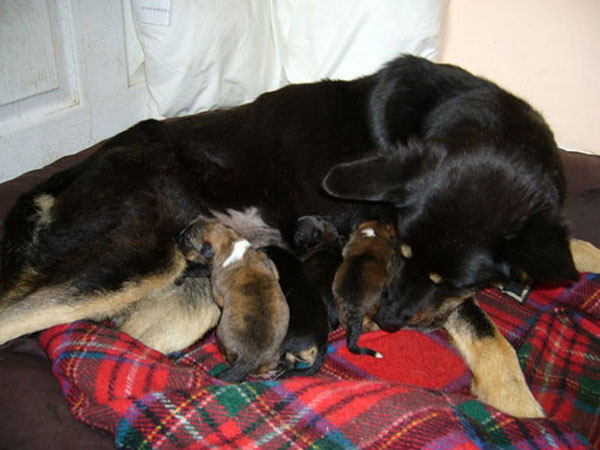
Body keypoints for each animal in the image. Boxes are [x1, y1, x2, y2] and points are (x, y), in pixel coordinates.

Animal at [177, 220, 290, 382]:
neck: (230, 244)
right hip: (272, 358)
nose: (177, 237)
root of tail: (248, 359)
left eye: (188, 239)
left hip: (221, 335)